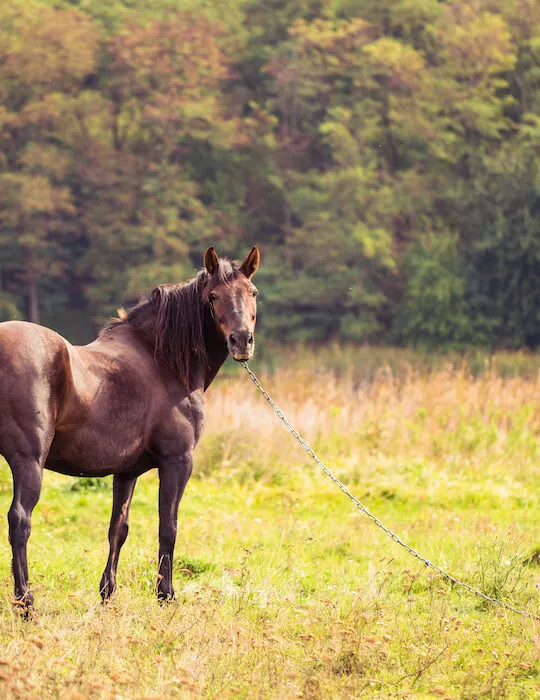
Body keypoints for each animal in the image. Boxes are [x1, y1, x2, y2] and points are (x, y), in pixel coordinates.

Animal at [0, 246, 260, 610]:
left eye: (252, 293)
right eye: (213, 296)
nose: (241, 341)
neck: (162, 361)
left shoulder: (126, 472)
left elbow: (117, 529)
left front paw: (107, 593)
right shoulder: (178, 462)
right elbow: (168, 527)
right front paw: (166, 594)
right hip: (28, 462)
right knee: (20, 521)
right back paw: (26, 603)